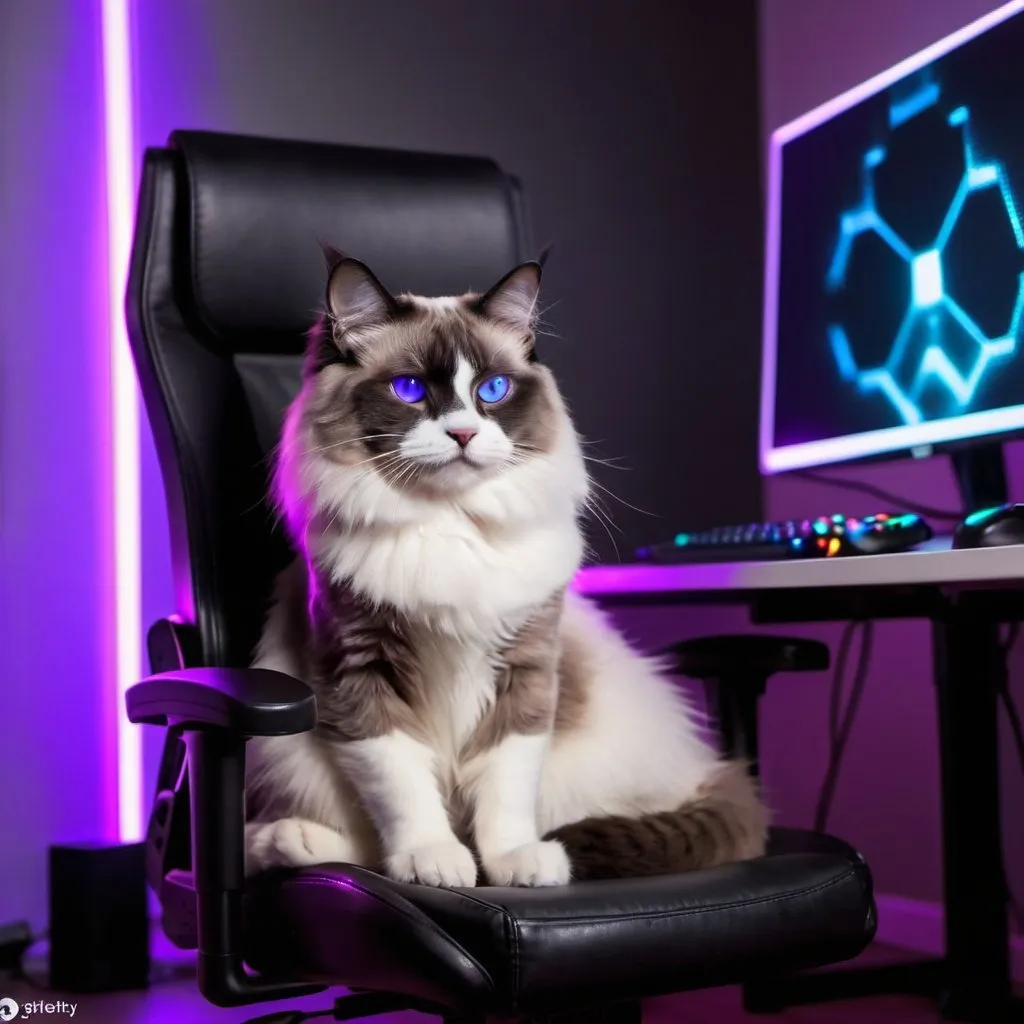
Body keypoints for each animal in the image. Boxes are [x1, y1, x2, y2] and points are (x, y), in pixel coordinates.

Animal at [243, 249, 765, 888]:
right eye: (409, 389)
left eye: (492, 389)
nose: (464, 433)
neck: (450, 526)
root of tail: (708, 766)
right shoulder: (361, 673)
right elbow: (402, 788)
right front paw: (436, 861)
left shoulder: (525, 671)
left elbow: (506, 785)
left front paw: (513, 863)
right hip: (289, 751)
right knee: (349, 847)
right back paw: (291, 842)